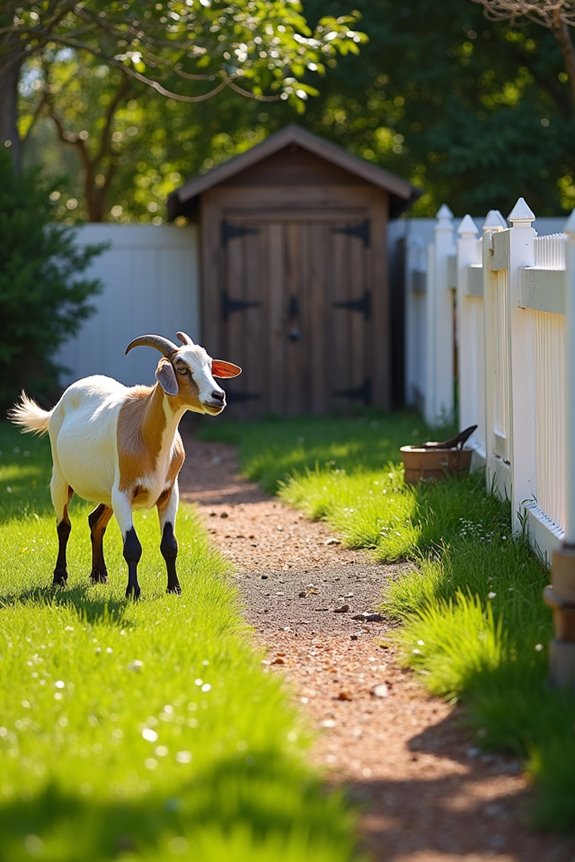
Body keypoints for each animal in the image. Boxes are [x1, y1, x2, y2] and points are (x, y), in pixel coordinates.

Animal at [8, 331, 241, 598]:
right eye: (182, 368)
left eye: (210, 366)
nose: (218, 396)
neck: (144, 429)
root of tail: (57, 407)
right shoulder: (123, 493)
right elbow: (132, 546)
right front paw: (133, 592)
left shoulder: (169, 492)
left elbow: (170, 544)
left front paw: (174, 589)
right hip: (60, 478)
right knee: (63, 525)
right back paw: (60, 578)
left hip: (106, 493)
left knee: (95, 521)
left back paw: (99, 574)